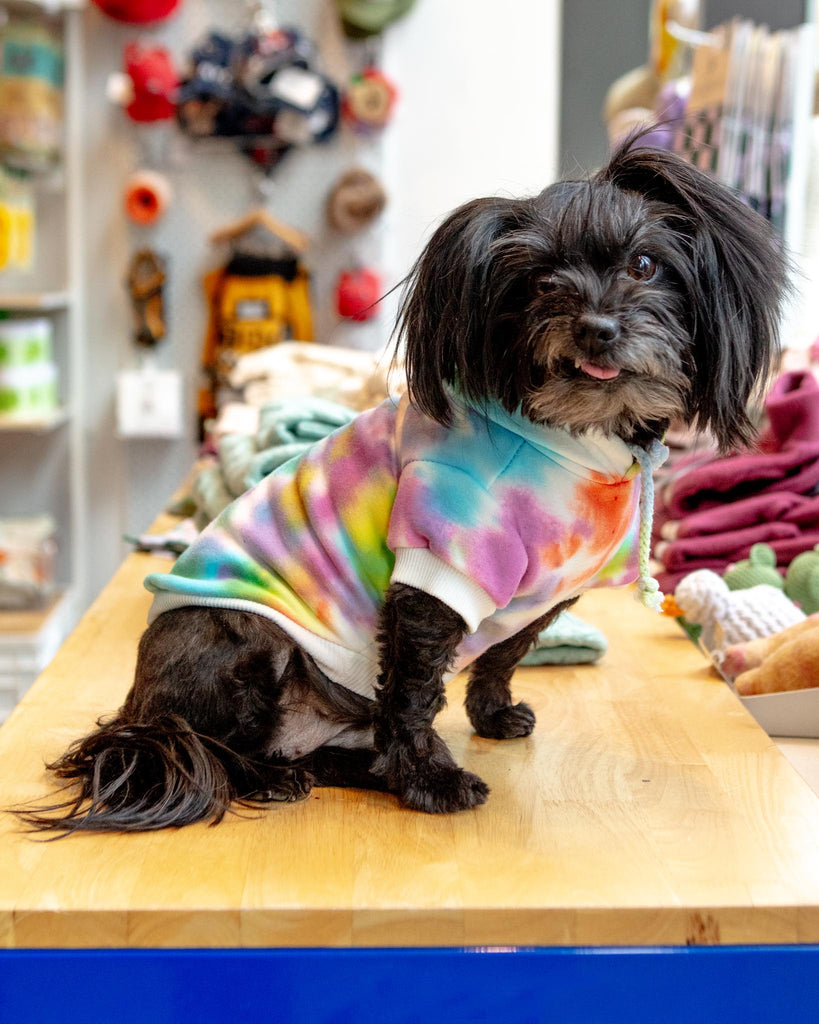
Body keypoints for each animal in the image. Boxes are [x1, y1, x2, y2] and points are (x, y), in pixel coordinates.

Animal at [20, 142, 786, 831]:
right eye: (542, 282)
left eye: (644, 264)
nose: (596, 329)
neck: (574, 436)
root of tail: (139, 713)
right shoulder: (436, 571)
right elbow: (415, 692)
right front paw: (430, 781)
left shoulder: (539, 596)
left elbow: (502, 655)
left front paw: (491, 716)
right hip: (243, 639)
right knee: (213, 747)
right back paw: (270, 777)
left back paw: (345, 767)